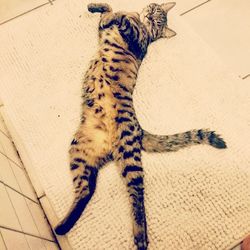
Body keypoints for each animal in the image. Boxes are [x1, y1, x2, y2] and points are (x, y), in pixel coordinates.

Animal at [54, 2, 227, 249]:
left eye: (157, 19)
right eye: (154, 10)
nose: (149, 13)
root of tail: (139, 129)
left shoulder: (137, 40)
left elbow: (121, 18)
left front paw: (115, 15)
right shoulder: (105, 29)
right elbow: (109, 11)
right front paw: (100, 9)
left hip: (127, 154)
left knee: (136, 192)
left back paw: (140, 235)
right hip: (79, 150)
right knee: (87, 189)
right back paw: (62, 226)